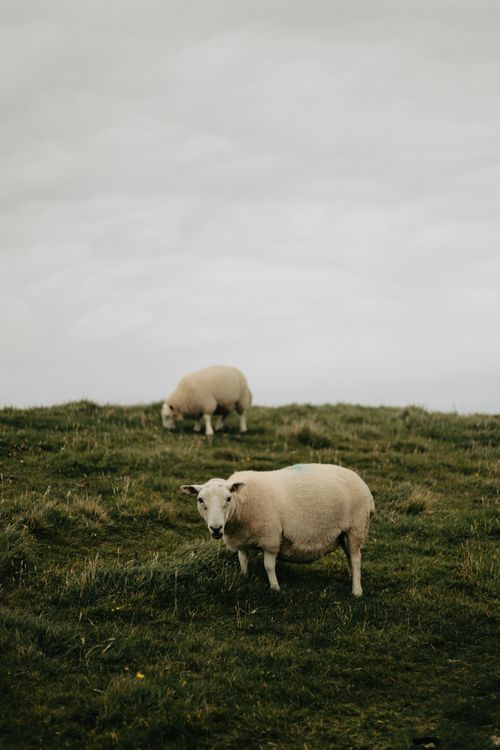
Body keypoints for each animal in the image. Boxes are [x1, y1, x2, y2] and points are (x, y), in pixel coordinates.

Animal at [181, 463, 375, 596]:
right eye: (200, 500)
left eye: (228, 498)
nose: (216, 528)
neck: (241, 504)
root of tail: (363, 484)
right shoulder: (241, 540)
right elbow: (243, 560)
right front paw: (244, 577)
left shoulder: (271, 538)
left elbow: (268, 566)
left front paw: (275, 588)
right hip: (344, 533)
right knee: (350, 556)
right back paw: (351, 577)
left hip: (356, 527)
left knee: (356, 559)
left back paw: (357, 591)